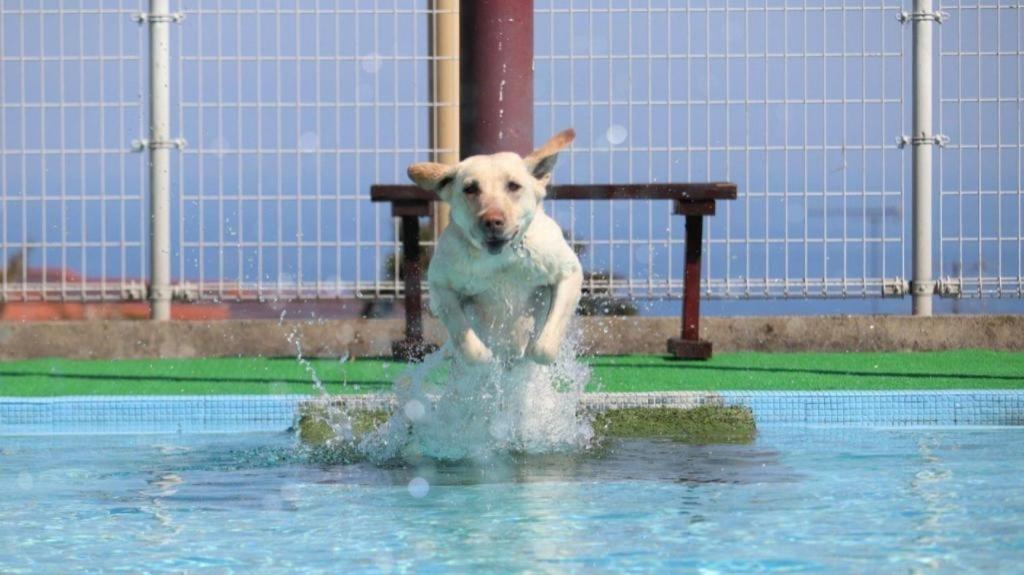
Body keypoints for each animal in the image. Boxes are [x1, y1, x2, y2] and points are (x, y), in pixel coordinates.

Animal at [407, 128, 585, 362]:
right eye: (470, 189)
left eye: (513, 186)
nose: (492, 221)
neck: (501, 258)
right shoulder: (440, 284)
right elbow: (471, 348)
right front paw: (486, 360)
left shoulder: (568, 273)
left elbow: (543, 349)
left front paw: (529, 352)